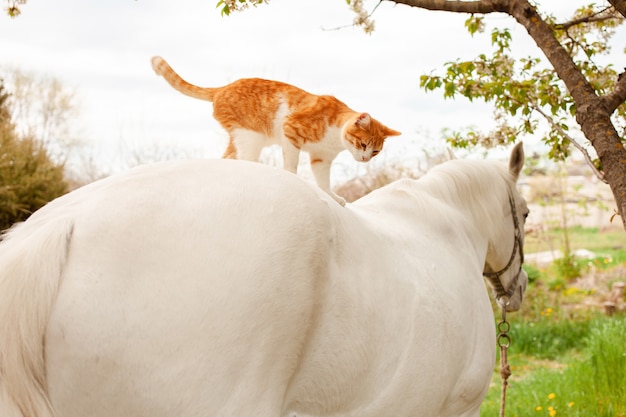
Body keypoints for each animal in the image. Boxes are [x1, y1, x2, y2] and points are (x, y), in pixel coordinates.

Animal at [150, 55, 400, 205]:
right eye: (363, 144)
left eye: (376, 151)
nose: (366, 159)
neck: (335, 138)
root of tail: (221, 88)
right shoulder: (291, 132)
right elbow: (291, 165)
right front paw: (293, 178)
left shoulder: (321, 158)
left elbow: (323, 181)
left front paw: (331, 196)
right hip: (249, 138)